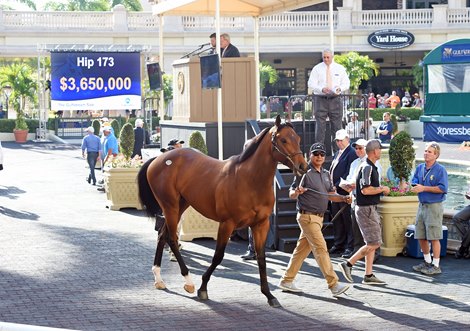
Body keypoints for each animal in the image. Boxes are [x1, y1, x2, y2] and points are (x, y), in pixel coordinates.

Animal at [137, 116, 308, 308]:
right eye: (283, 140)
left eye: (298, 138)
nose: (303, 166)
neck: (249, 180)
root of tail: (159, 158)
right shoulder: (227, 224)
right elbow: (218, 256)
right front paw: (203, 288)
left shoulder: (261, 224)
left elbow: (261, 258)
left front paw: (269, 295)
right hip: (170, 206)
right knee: (172, 238)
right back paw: (189, 282)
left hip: (180, 205)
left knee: (162, 234)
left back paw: (159, 279)